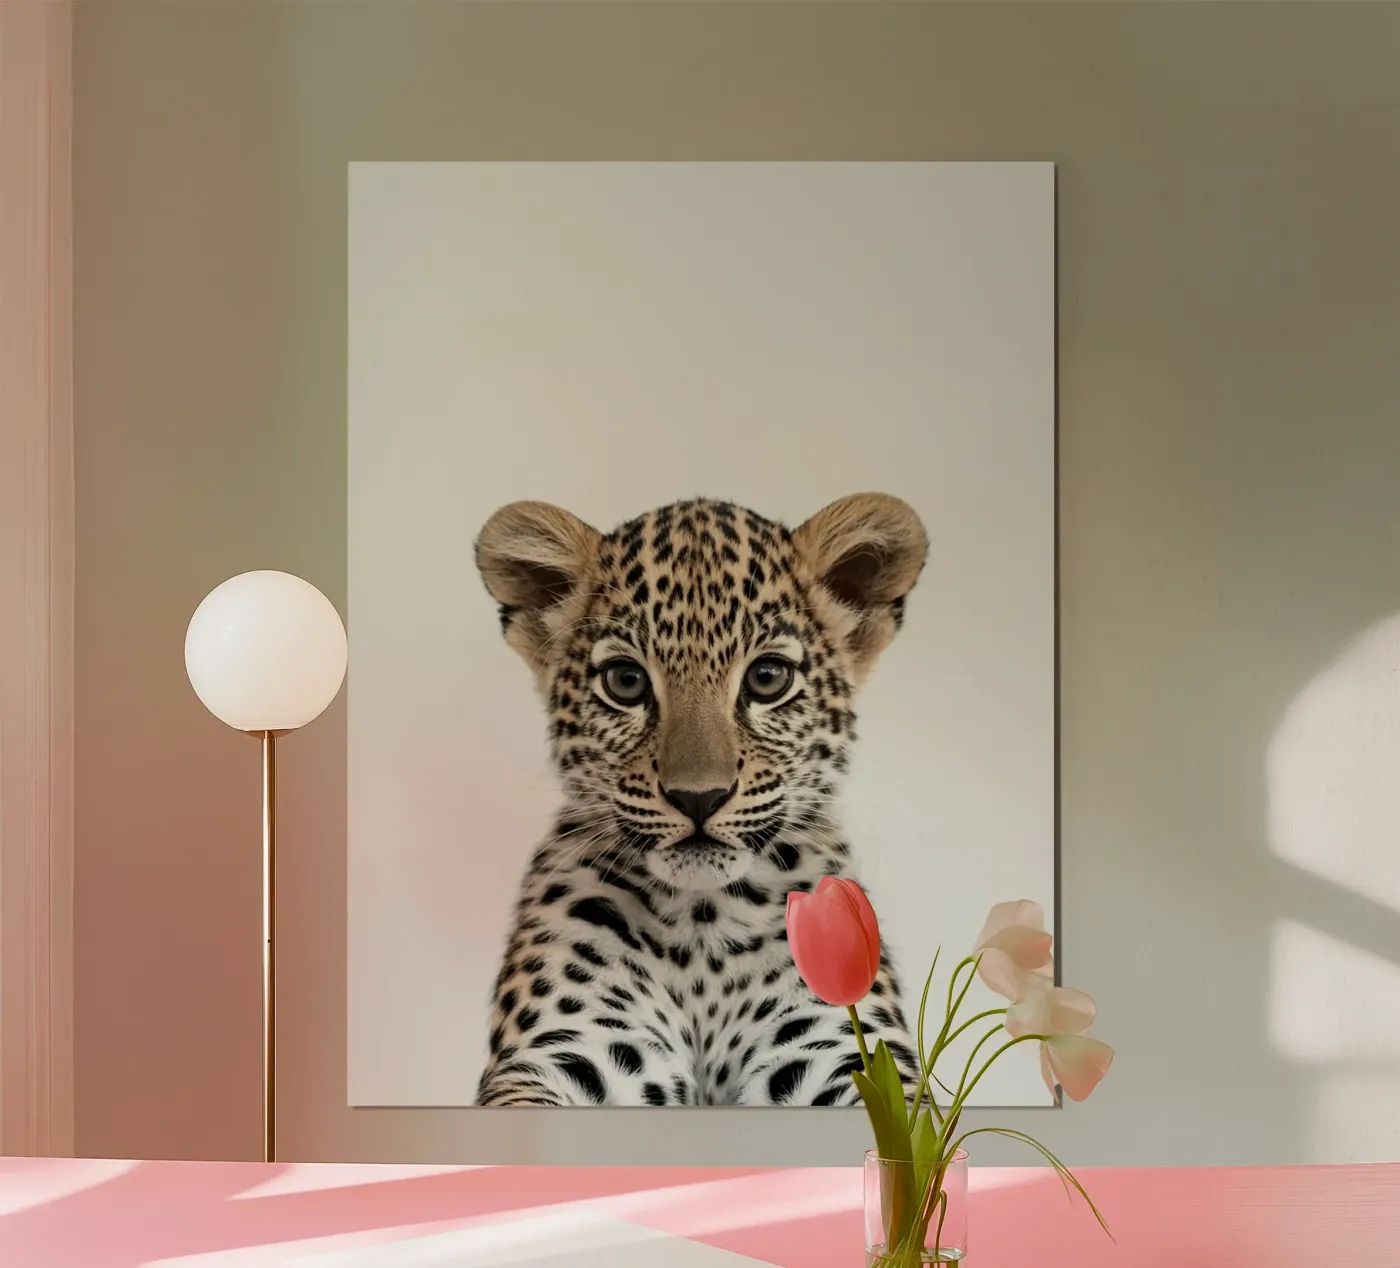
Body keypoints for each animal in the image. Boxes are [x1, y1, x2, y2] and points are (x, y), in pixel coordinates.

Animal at [472, 492, 928, 1107]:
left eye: (767, 677)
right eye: (625, 681)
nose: (698, 798)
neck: (703, 926)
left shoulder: (839, 1051)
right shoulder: (570, 1048)